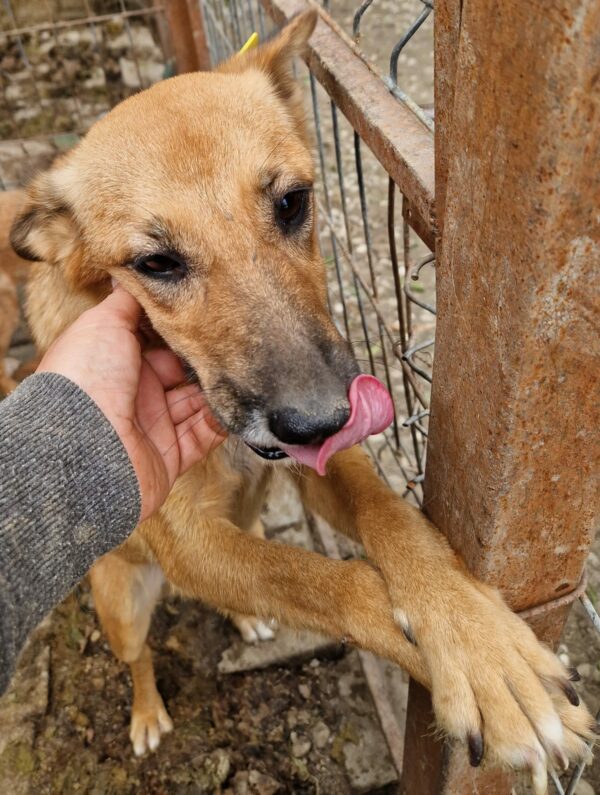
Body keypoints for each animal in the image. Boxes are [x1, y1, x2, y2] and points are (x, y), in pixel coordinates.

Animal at [11, 12, 592, 788]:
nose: (323, 420)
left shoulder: (317, 471)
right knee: (139, 660)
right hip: (122, 604)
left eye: (291, 203)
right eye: (155, 262)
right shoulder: (193, 546)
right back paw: (147, 714)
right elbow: (323, 581)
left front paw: (479, 640)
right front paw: (450, 656)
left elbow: (394, 522)